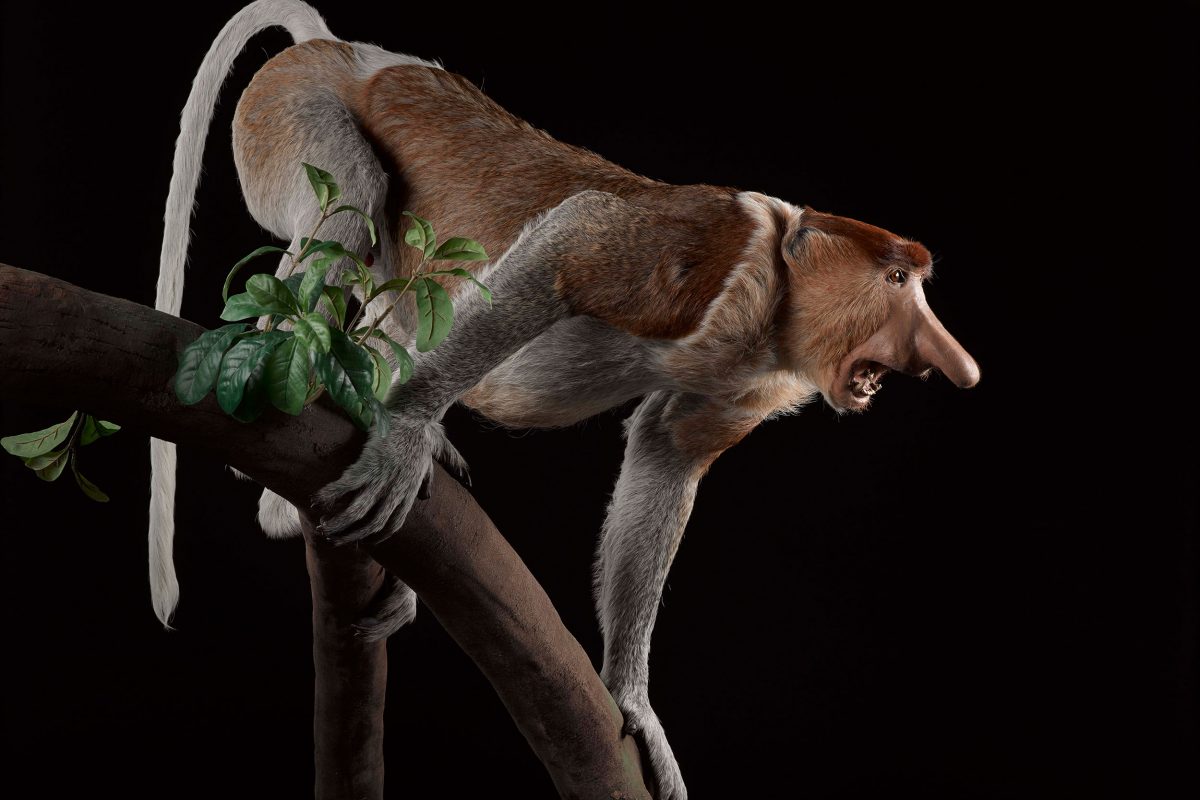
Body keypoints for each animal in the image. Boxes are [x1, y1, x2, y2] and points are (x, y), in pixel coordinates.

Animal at [150, 1, 979, 796]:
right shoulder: (698, 250)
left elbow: (668, 450)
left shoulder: (752, 379)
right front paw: (405, 433)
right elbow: (571, 242)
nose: (957, 364)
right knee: (355, 195)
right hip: (292, 107)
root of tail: (343, 51)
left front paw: (633, 703)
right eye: (897, 279)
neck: (778, 286)